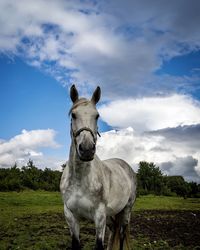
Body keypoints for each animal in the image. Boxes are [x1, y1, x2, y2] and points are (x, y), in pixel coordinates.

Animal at [60, 85, 137, 249]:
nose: (87, 149)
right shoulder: (70, 216)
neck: (80, 180)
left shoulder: (100, 216)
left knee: (121, 234)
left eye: (97, 116)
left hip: (126, 210)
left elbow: (99, 245)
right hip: (112, 214)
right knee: (114, 230)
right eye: (74, 115)